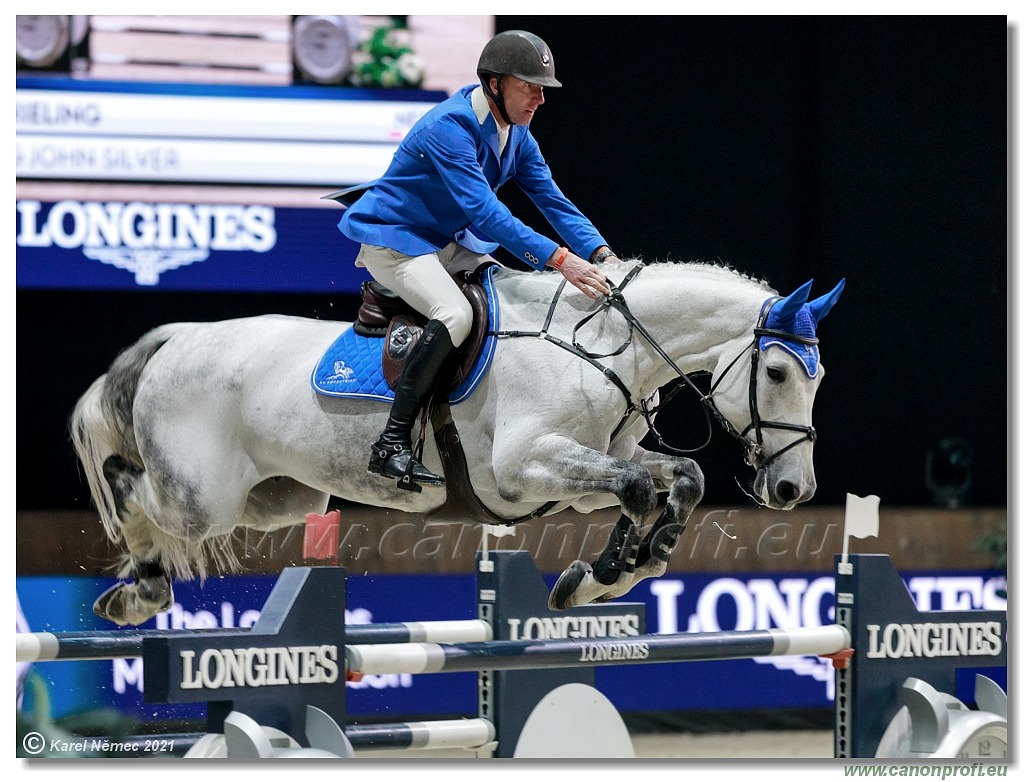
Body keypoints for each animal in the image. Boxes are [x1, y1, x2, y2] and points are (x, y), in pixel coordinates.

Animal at [70, 259, 839, 626]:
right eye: (776, 372)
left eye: (819, 377)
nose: (793, 490)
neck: (596, 347)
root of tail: (179, 337)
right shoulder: (524, 468)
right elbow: (637, 488)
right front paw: (607, 573)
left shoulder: (580, 479)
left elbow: (673, 481)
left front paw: (606, 575)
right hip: (201, 498)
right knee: (131, 487)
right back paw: (138, 591)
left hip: (279, 499)